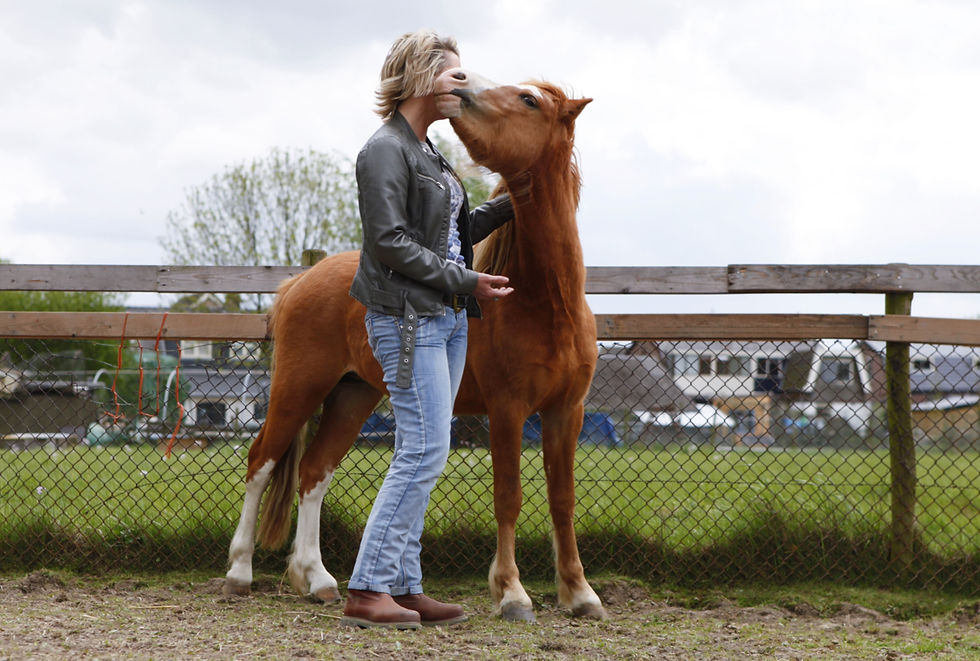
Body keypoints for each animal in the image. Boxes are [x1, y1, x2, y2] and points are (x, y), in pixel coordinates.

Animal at [223, 72, 606, 622]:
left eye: (529, 99)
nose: (462, 87)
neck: (546, 303)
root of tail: (299, 282)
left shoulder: (565, 413)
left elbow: (562, 500)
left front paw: (579, 592)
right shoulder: (507, 410)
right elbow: (509, 497)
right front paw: (511, 592)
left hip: (353, 395)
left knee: (314, 472)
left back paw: (317, 579)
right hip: (298, 390)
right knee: (261, 463)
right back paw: (240, 571)